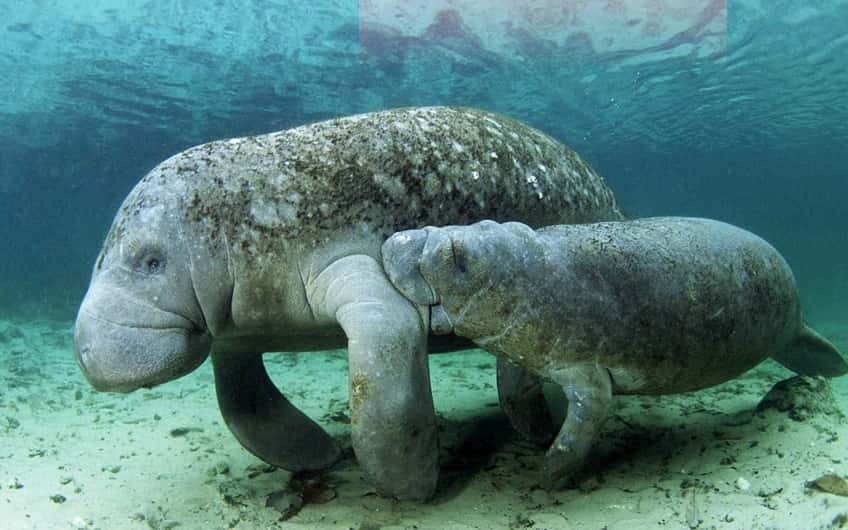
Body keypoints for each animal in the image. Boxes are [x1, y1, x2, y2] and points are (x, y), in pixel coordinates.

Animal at [74, 105, 624, 498]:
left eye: (150, 261)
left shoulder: (355, 267)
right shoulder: (234, 330)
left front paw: (411, 488)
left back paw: (536, 430)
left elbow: (383, 377)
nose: (85, 352)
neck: (243, 222)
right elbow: (242, 402)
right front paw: (319, 457)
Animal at [382, 216, 840, 486]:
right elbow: (514, 393)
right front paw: (537, 435)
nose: (397, 238)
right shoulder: (518, 349)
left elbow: (585, 420)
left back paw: (834, 366)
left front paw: (545, 476)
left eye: (457, 257)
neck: (529, 273)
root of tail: (800, 321)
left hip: (792, 325)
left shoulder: (588, 373)